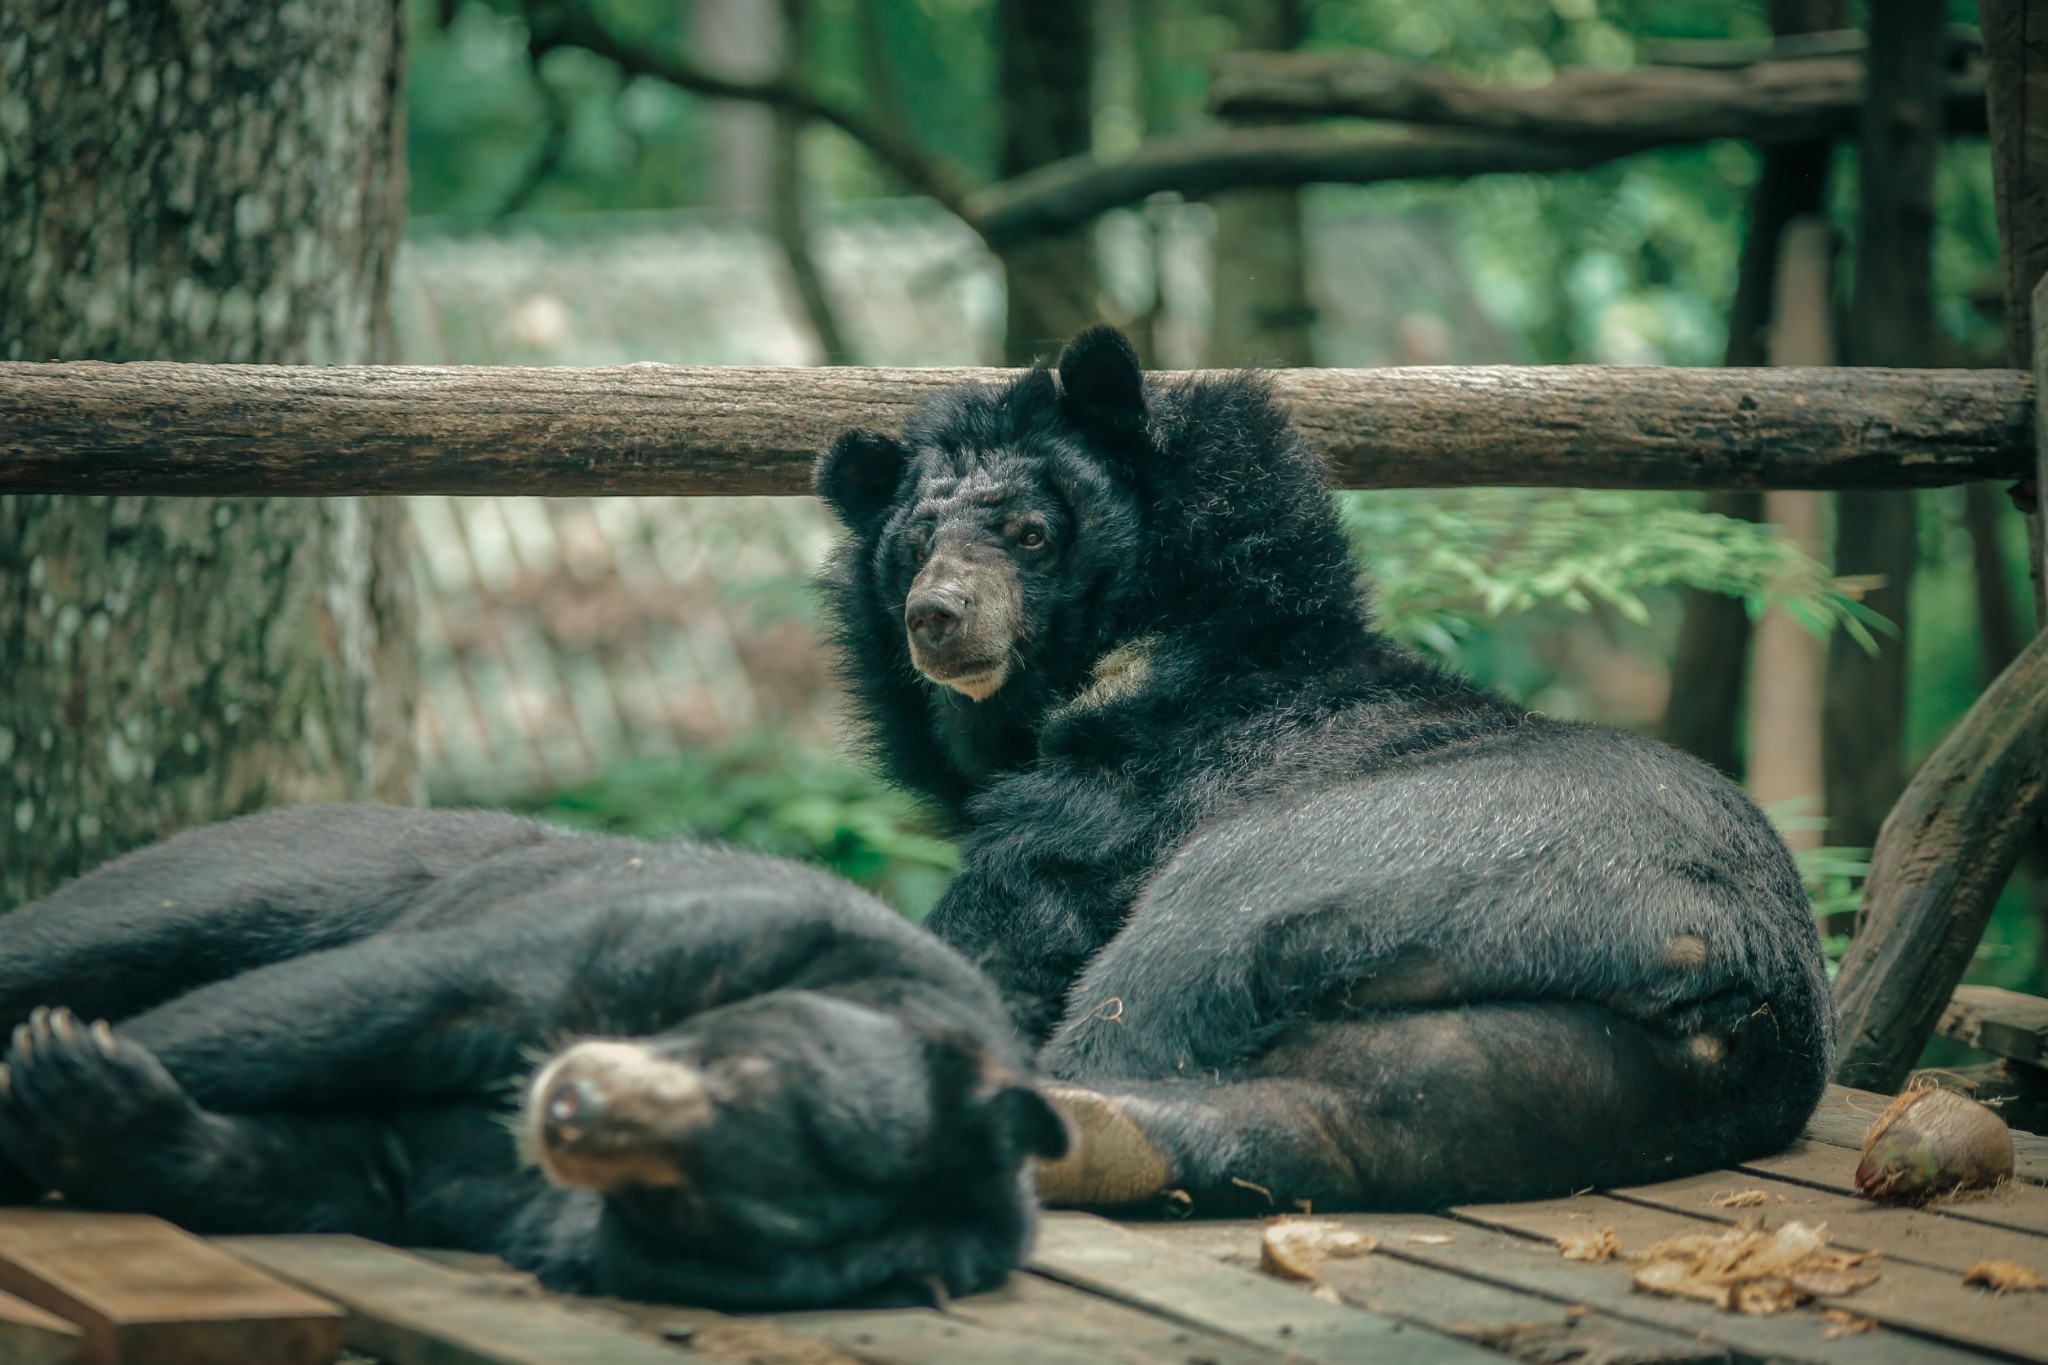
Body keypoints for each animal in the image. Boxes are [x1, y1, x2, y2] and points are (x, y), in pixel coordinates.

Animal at [4, 806, 1073, 1309]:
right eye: (742, 1066)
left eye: (696, 1209)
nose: (565, 1104)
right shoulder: (712, 929)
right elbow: (408, 998)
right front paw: (47, 1074)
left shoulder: (489, 1196)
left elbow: (343, 1168)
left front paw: (86, 1102)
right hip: (303, 866)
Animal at [815, 327, 1843, 1219]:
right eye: (915, 545)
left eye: (1030, 533)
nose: (936, 616)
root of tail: (1737, 984)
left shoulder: (1110, 804)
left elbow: (1000, 937)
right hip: (1557, 1073)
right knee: (1341, 1115)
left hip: (1344, 861)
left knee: (1162, 984)